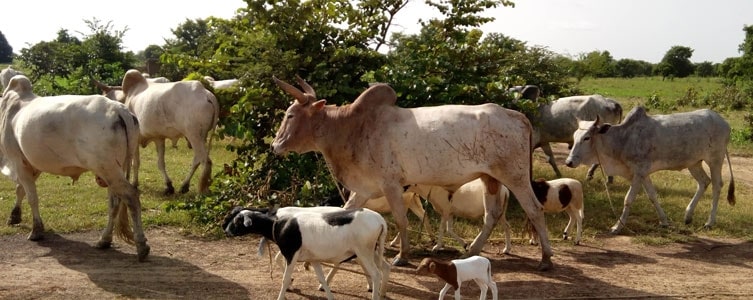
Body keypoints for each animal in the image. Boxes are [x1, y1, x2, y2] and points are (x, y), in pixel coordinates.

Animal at [0, 74, 150, 260]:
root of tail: (120, 109)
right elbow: (21, 190)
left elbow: (32, 197)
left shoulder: (18, 161)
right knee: (115, 203)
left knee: (131, 197)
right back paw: (104, 240)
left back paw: (141, 245)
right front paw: (14, 216)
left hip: (108, 169)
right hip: (114, 169)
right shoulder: (31, 164)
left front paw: (36, 231)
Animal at [222, 206, 388, 300]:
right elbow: (322, 280)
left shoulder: (291, 254)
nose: (226, 230)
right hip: (371, 251)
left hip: (364, 252)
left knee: (376, 274)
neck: (278, 224)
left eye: (237, 220)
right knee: (383, 269)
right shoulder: (313, 259)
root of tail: (380, 220)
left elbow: (285, 280)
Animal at [270, 74, 552, 270]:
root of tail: (517, 116)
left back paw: (546, 259)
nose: (275, 145)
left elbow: (401, 219)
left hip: (514, 177)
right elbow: (343, 211)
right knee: (491, 214)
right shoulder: (364, 188)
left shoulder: (391, 184)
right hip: (489, 178)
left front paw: (402, 256)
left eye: (290, 115)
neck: (351, 127)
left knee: (535, 210)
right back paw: (471, 250)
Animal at [564, 105, 736, 232]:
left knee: (717, 185)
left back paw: (709, 222)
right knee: (704, 182)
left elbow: (628, 199)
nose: (569, 161)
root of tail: (724, 122)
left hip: (715, 160)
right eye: (574, 137)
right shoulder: (644, 174)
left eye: (587, 137)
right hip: (694, 163)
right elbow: (653, 196)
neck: (623, 139)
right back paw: (688, 216)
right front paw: (664, 221)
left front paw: (617, 226)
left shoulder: (638, 172)